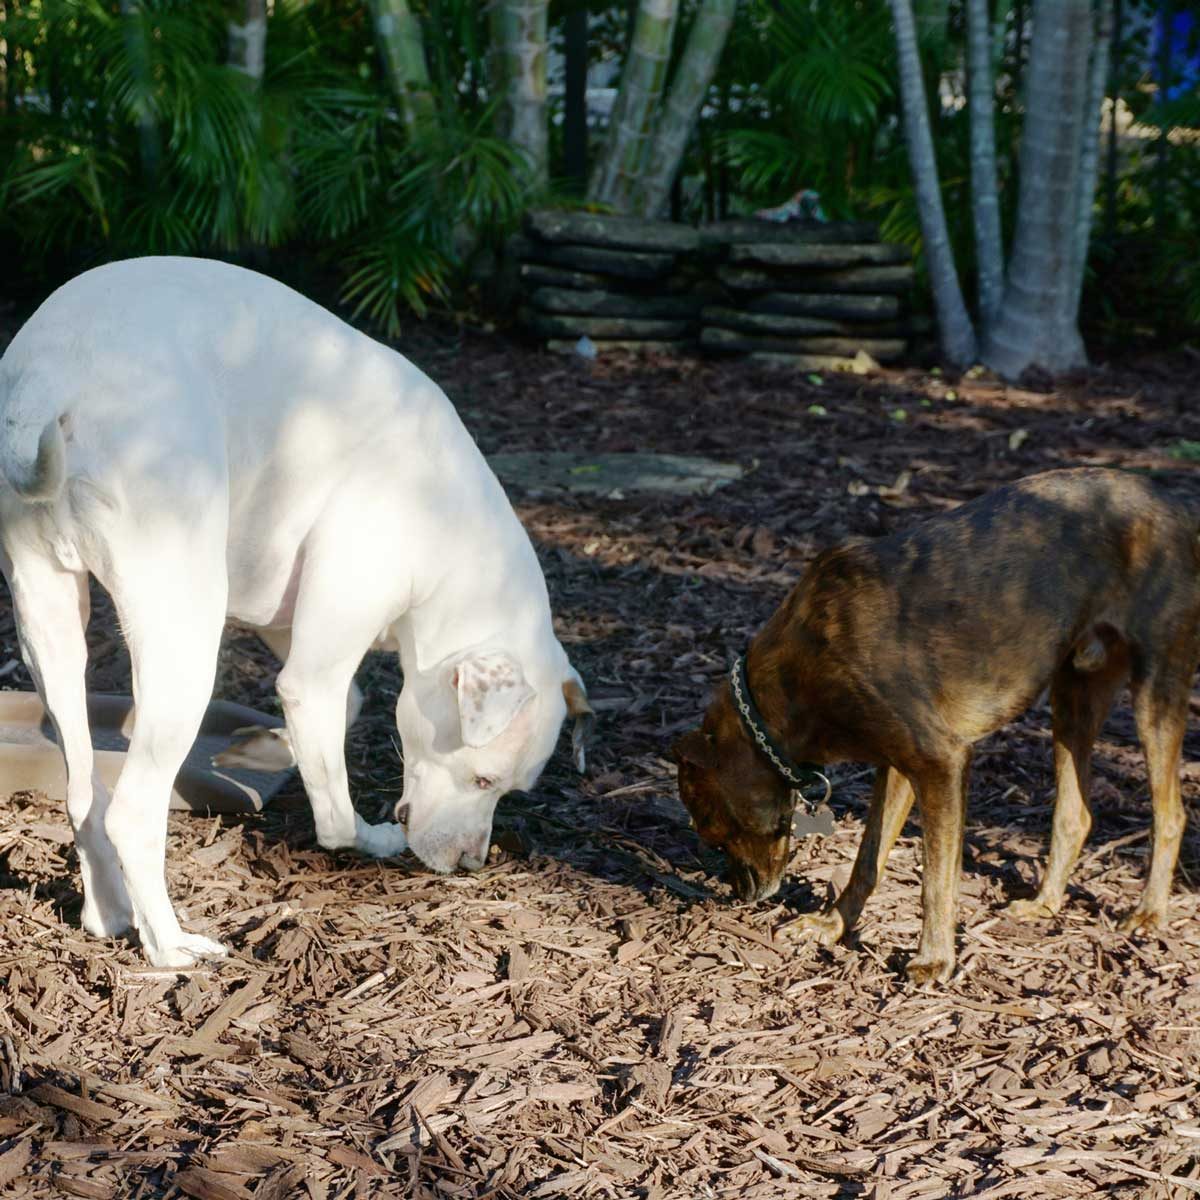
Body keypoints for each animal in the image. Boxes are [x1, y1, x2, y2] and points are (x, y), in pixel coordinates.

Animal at [0, 258, 590, 969]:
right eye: (482, 779)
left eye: (508, 790)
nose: (471, 865)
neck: (447, 522)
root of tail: (52, 379)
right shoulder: (314, 667)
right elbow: (335, 811)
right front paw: (373, 837)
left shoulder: (292, 633)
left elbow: (350, 704)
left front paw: (271, 744)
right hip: (184, 645)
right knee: (132, 811)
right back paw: (170, 947)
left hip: (51, 630)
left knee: (85, 790)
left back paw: (109, 914)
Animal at [676, 468, 1200, 984]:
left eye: (714, 832)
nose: (743, 897)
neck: (786, 687)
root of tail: (1176, 503)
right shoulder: (899, 766)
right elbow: (868, 858)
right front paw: (832, 924)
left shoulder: (941, 763)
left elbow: (935, 879)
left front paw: (933, 959)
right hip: (1074, 699)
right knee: (1076, 814)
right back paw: (1044, 904)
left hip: (1156, 690)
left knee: (1170, 814)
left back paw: (1149, 914)